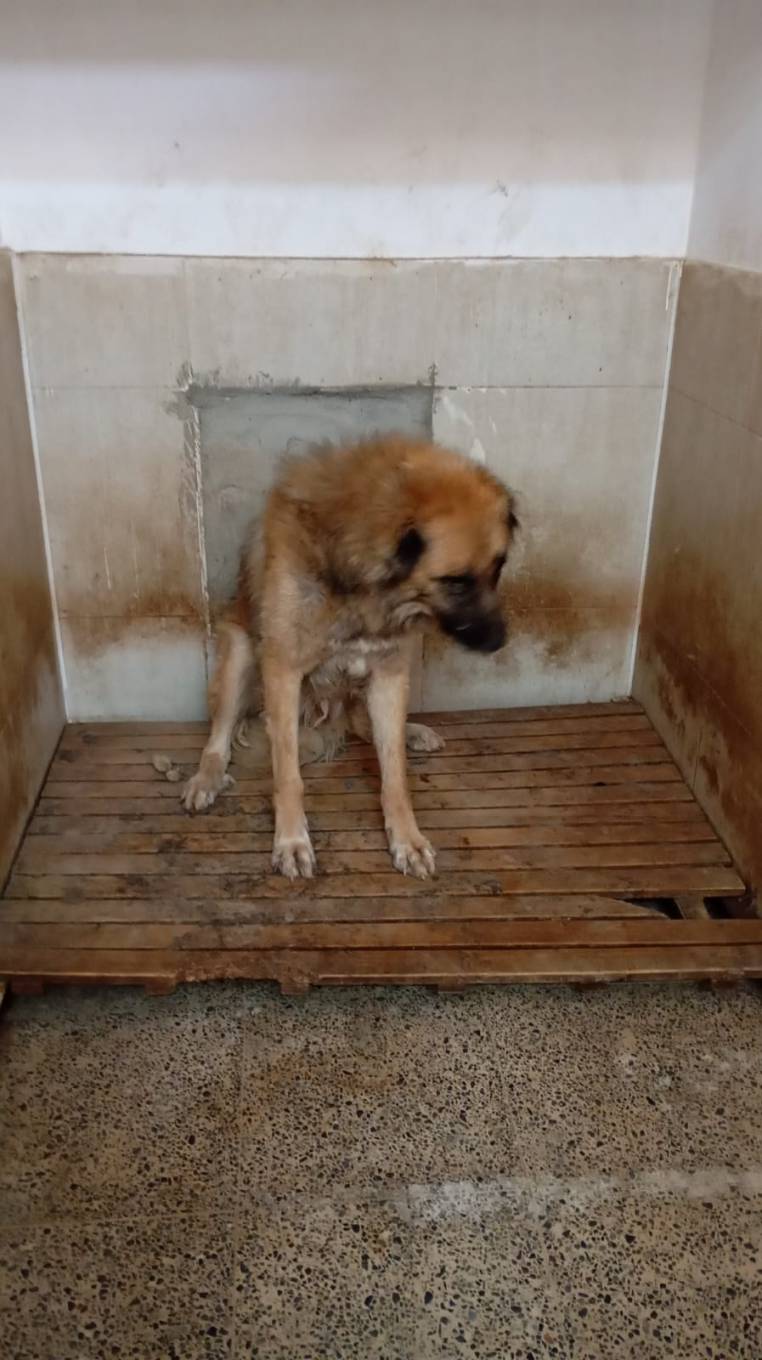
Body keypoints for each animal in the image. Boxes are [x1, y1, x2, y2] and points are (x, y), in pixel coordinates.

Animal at [182, 436, 517, 880]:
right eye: (455, 582)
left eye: (498, 568)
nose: (500, 641)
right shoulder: (283, 669)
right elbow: (287, 773)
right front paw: (291, 841)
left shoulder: (389, 672)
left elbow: (394, 774)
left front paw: (406, 839)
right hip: (238, 653)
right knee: (218, 739)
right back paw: (206, 779)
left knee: (363, 726)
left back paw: (411, 732)